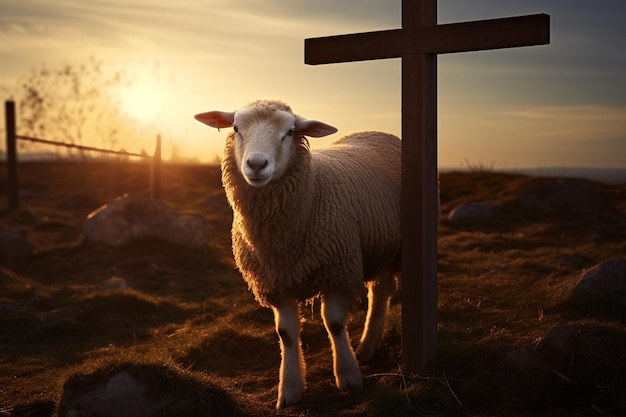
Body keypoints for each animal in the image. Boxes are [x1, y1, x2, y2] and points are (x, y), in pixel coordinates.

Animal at [195, 100, 400, 406]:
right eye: (236, 128)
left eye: (290, 132)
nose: (257, 164)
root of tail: (374, 131)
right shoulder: (276, 283)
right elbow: (286, 334)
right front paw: (290, 389)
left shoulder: (337, 272)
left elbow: (335, 324)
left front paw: (348, 376)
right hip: (381, 249)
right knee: (381, 291)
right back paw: (367, 348)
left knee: (382, 292)